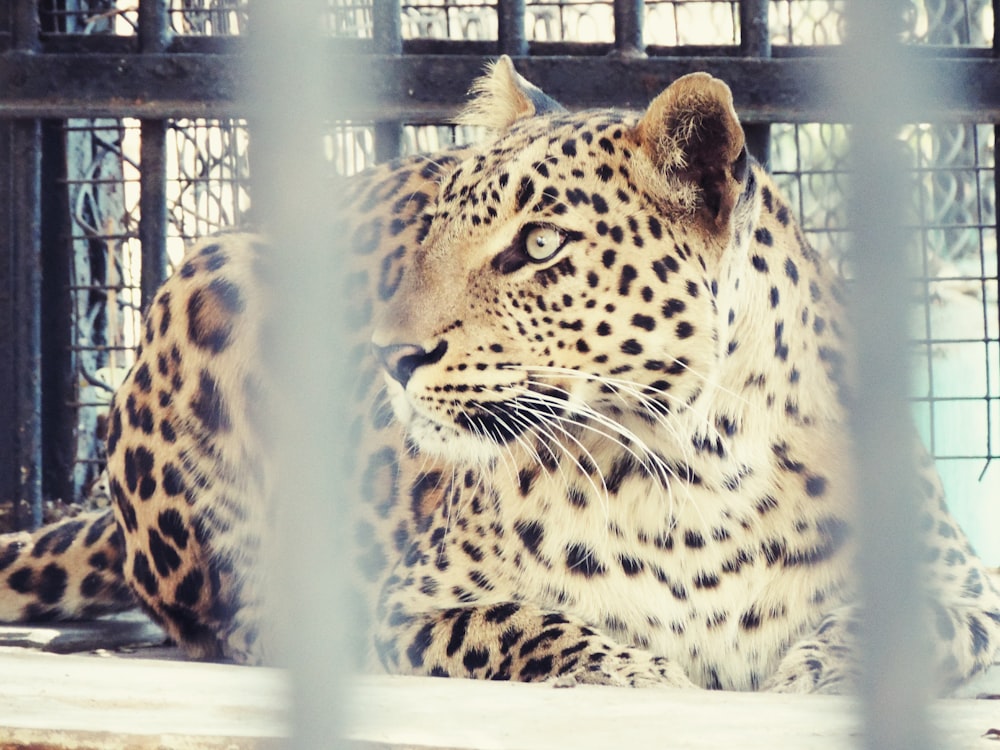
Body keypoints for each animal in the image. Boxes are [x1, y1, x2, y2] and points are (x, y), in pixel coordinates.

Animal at [1, 55, 1000, 696]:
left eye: (541, 245)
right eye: (438, 227)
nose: (389, 354)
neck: (689, 476)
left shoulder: (973, 594)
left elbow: (917, 621)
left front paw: (813, 666)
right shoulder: (412, 603)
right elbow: (518, 626)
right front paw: (641, 672)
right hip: (212, 277)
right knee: (220, 621)